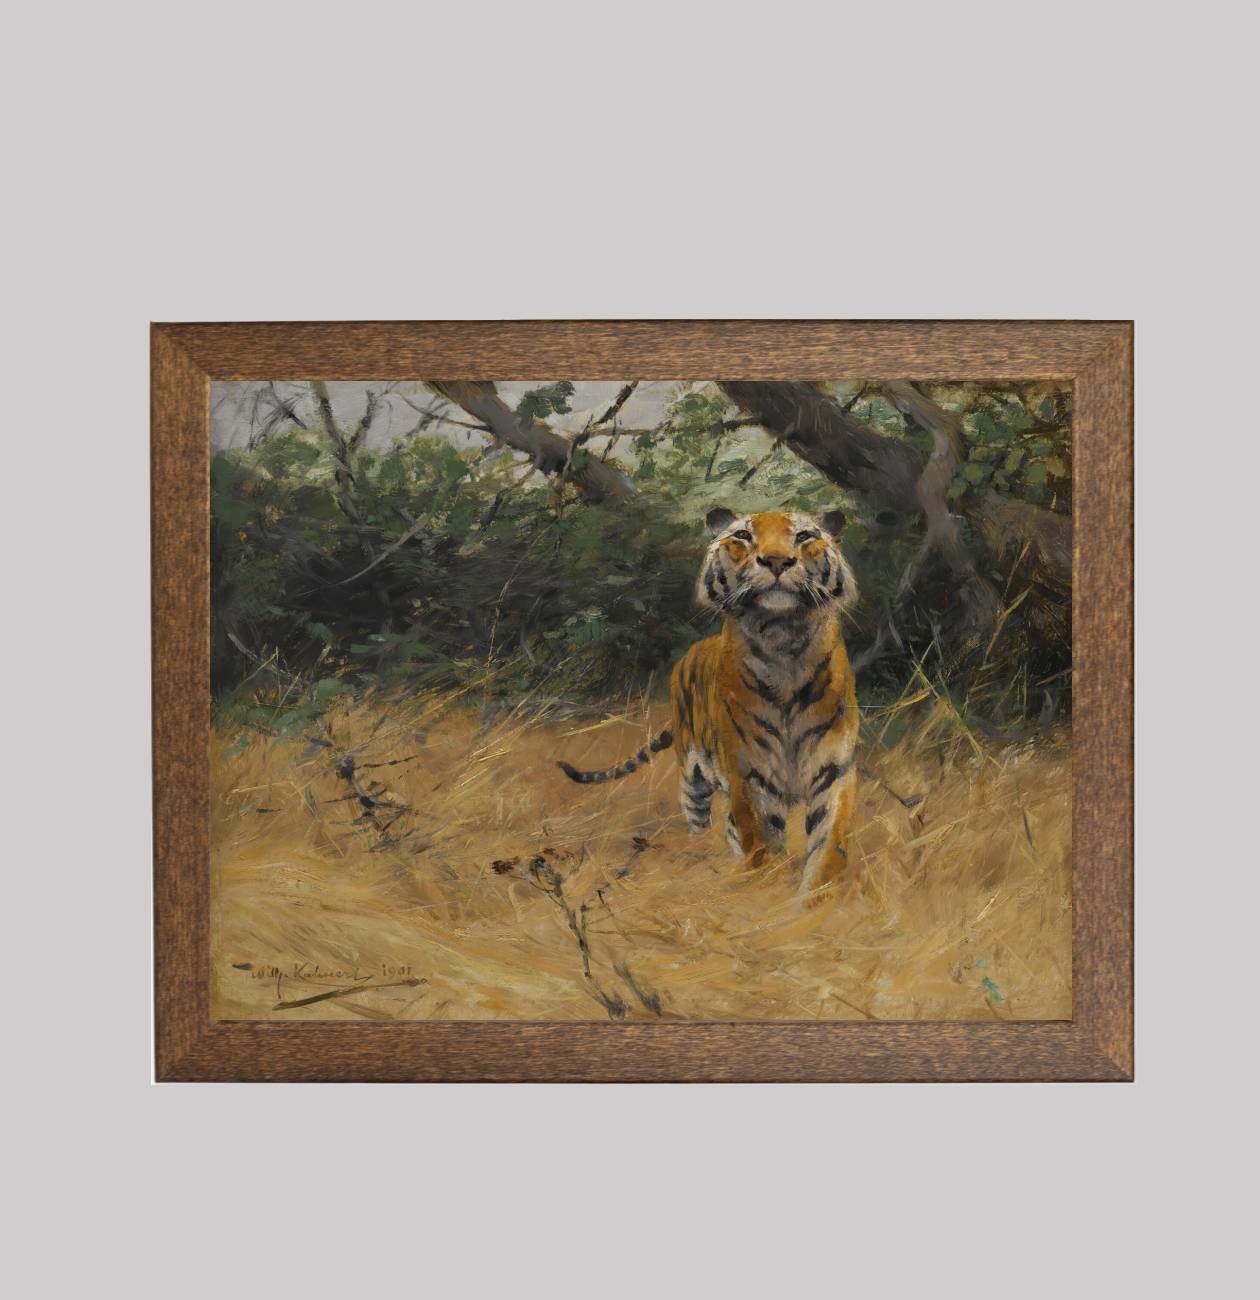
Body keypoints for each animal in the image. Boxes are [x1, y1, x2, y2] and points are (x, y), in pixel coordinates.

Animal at [558, 506, 860, 902]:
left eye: (805, 535)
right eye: (744, 536)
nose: (777, 560)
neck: (783, 641)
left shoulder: (833, 768)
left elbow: (829, 844)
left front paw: (816, 901)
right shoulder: (750, 771)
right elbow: (762, 839)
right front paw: (770, 894)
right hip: (692, 777)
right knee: (702, 821)